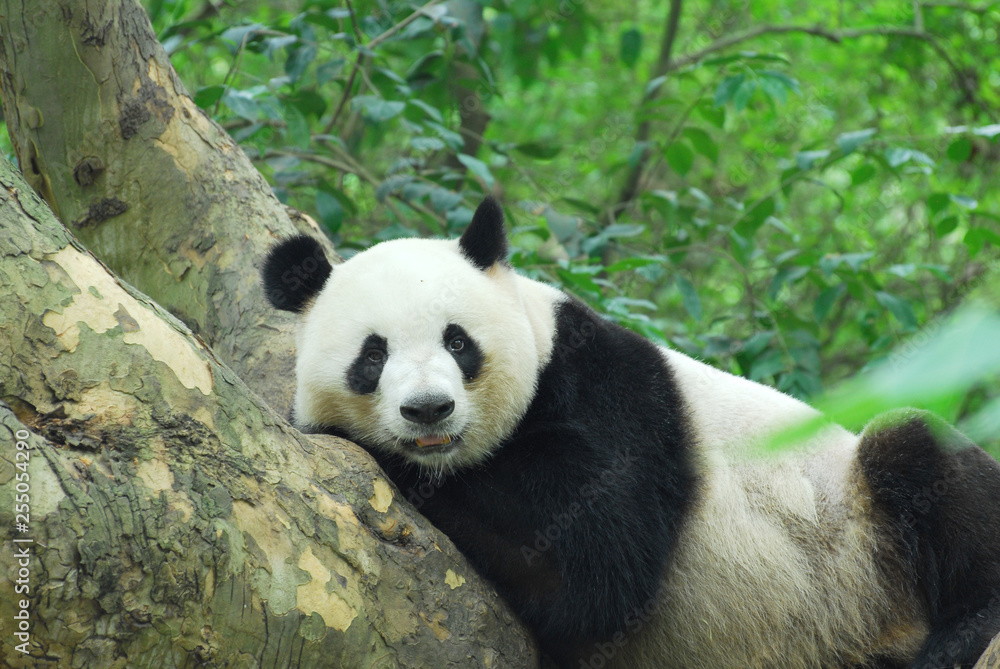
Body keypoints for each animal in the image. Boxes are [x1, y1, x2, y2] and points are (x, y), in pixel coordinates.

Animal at [262, 196, 1000, 669]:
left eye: (458, 341)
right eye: (373, 355)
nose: (428, 410)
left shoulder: (615, 395)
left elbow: (595, 561)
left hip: (861, 538)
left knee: (918, 455)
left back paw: (963, 631)